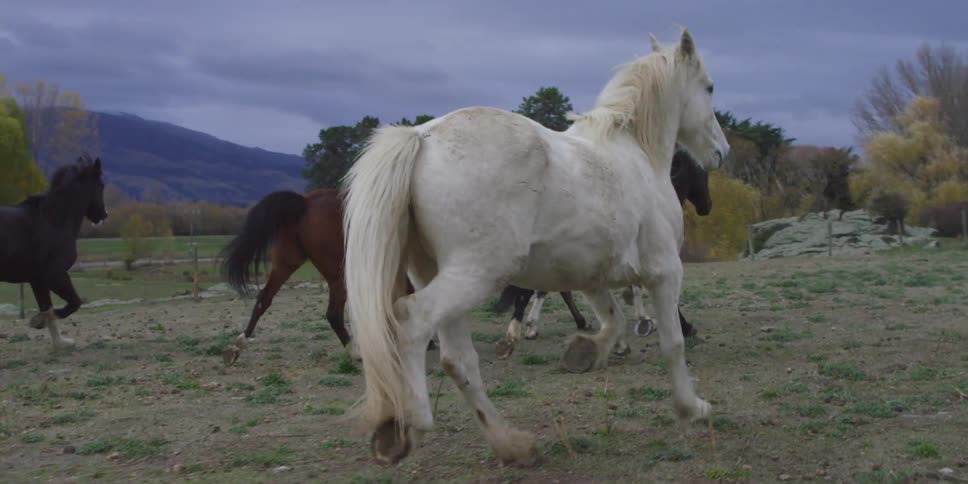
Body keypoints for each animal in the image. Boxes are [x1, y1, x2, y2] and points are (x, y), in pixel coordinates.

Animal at [0, 155, 108, 350]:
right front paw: (38, 322)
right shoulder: (55, 275)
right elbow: (73, 303)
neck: (53, 220)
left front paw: (60, 342)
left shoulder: (37, 280)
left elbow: (48, 308)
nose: (103, 216)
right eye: (101, 186)